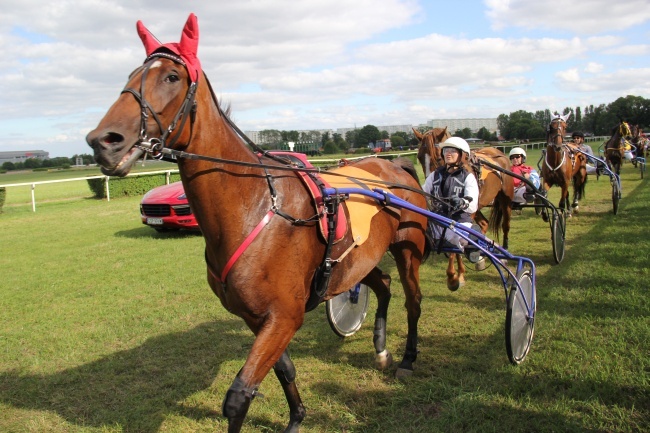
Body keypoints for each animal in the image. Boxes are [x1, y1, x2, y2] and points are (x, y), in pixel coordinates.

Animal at [85, 14, 430, 432]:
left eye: (171, 76)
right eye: (131, 75)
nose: (103, 141)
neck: (254, 207)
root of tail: (395, 165)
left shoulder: (284, 316)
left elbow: (238, 398)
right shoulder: (255, 316)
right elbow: (284, 371)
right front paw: (297, 417)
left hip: (408, 248)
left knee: (413, 299)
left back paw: (408, 358)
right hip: (357, 261)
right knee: (382, 284)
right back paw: (381, 349)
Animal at [416, 128, 512, 290]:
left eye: (438, 158)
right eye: (419, 157)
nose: (429, 196)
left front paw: (454, 276)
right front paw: (459, 272)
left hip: (505, 198)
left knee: (505, 225)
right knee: (484, 224)